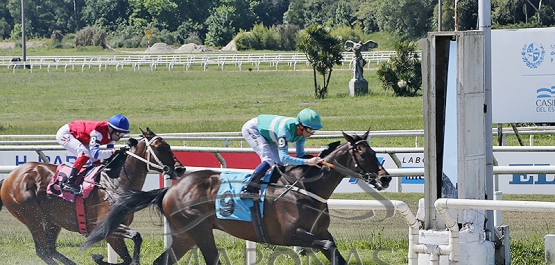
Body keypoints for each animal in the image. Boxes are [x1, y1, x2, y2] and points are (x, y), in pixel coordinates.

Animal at [0, 128, 187, 264]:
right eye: (160, 148)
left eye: (169, 146)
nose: (181, 169)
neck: (114, 183)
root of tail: (9, 177)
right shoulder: (105, 227)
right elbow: (135, 239)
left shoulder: (113, 232)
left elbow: (130, 251)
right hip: (32, 216)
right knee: (43, 251)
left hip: (52, 220)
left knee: (50, 249)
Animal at [84, 130, 394, 264]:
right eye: (364, 153)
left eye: (374, 151)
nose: (385, 178)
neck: (305, 187)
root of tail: (170, 188)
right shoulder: (291, 235)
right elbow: (327, 246)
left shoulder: (319, 232)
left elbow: (335, 251)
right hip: (199, 230)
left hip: (185, 234)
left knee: (163, 261)